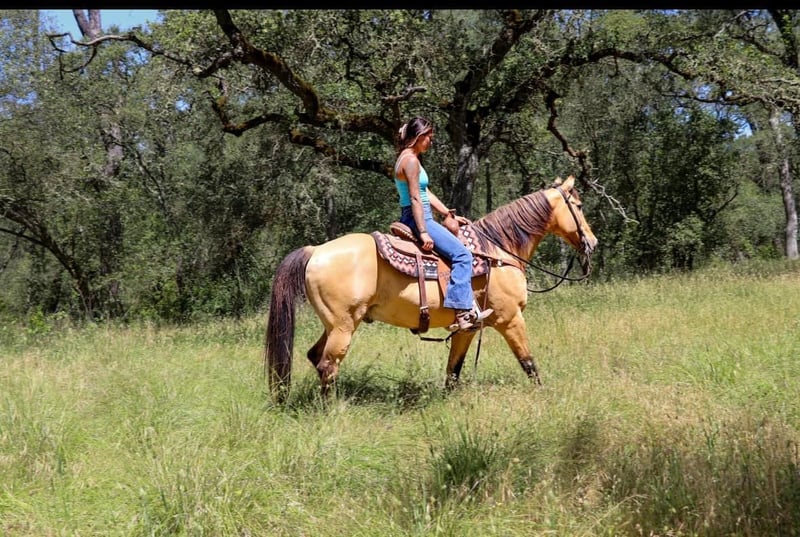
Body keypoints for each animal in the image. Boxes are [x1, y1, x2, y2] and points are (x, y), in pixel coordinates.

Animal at [264, 175, 598, 400]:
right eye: (579, 206)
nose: (592, 243)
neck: (498, 251)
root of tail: (315, 251)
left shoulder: (468, 328)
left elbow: (454, 370)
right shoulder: (510, 319)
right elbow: (528, 363)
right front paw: (544, 394)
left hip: (333, 324)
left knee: (314, 356)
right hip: (343, 326)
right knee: (328, 364)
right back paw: (334, 410)